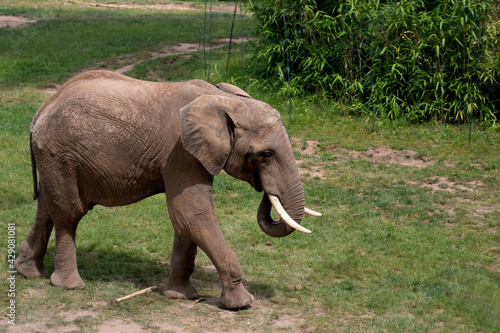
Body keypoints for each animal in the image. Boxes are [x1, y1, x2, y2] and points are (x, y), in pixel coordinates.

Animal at [15, 70, 322, 308]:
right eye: (266, 155)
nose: (265, 190)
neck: (222, 100)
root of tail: (41, 110)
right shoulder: (181, 152)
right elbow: (192, 214)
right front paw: (242, 303)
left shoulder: (189, 154)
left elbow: (185, 221)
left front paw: (180, 296)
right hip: (60, 154)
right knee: (69, 213)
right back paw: (69, 285)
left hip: (53, 157)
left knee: (46, 205)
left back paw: (29, 272)